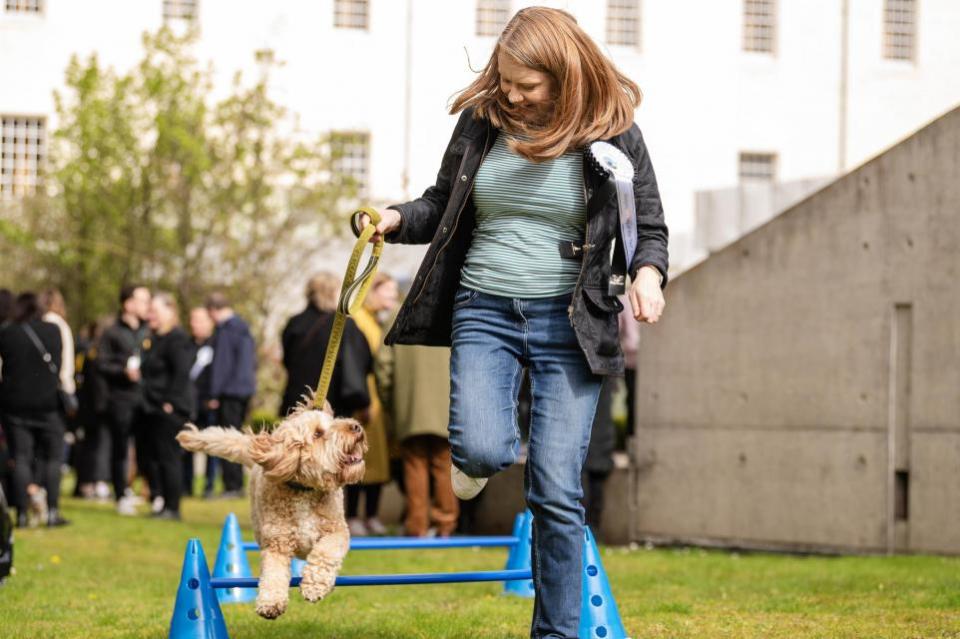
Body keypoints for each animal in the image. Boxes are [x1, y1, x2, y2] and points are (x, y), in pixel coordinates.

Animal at [174, 404, 366, 620]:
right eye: (318, 433)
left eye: (333, 420)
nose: (356, 426)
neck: (304, 490)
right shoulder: (276, 543)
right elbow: (273, 573)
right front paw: (270, 603)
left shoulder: (337, 531)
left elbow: (325, 552)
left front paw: (314, 586)